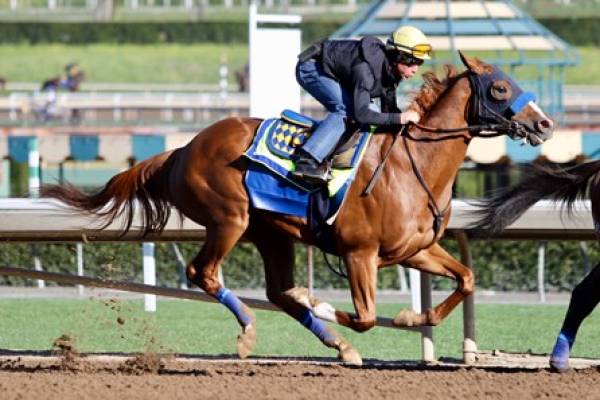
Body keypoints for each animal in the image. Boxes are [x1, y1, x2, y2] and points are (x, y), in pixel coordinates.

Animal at [41, 53, 552, 366]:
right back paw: (253, 330)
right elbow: (365, 316)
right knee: (204, 273)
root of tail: (182, 148)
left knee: (278, 292)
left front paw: (412, 318)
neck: (413, 165)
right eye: (501, 88)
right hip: (230, 219)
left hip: (270, 233)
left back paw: (337, 345)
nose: (544, 123)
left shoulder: (414, 250)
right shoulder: (359, 253)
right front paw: (325, 302)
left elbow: (466, 279)